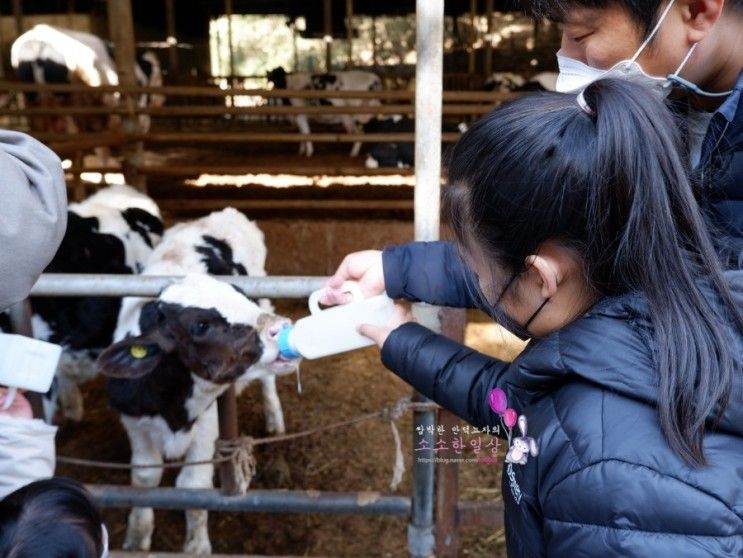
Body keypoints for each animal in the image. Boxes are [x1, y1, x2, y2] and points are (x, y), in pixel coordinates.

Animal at [99, 209, 296, 556]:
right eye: (201, 325)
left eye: (241, 295)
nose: (281, 328)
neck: (172, 404)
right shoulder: (135, 422)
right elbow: (145, 478)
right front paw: (137, 536)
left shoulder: (207, 423)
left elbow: (193, 486)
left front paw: (197, 545)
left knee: (268, 380)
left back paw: (274, 420)